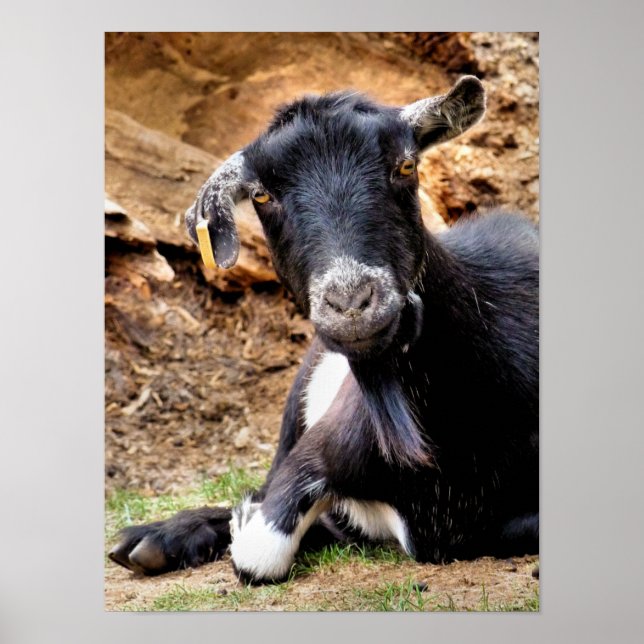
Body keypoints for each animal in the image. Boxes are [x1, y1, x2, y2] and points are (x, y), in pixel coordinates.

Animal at [109, 76, 539, 584]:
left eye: (406, 164)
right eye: (261, 195)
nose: (351, 303)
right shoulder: (317, 450)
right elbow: (260, 549)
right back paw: (154, 539)